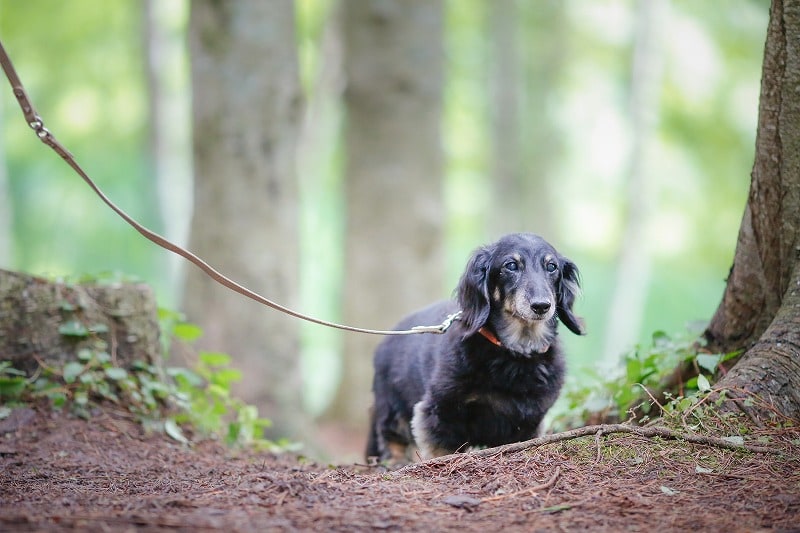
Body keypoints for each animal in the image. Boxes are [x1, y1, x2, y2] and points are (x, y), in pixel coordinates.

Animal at [366, 232, 584, 462]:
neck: (516, 353)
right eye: (511, 265)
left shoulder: (528, 422)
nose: (541, 306)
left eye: (552, 266)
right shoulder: (440, 413)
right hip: (392, 410)